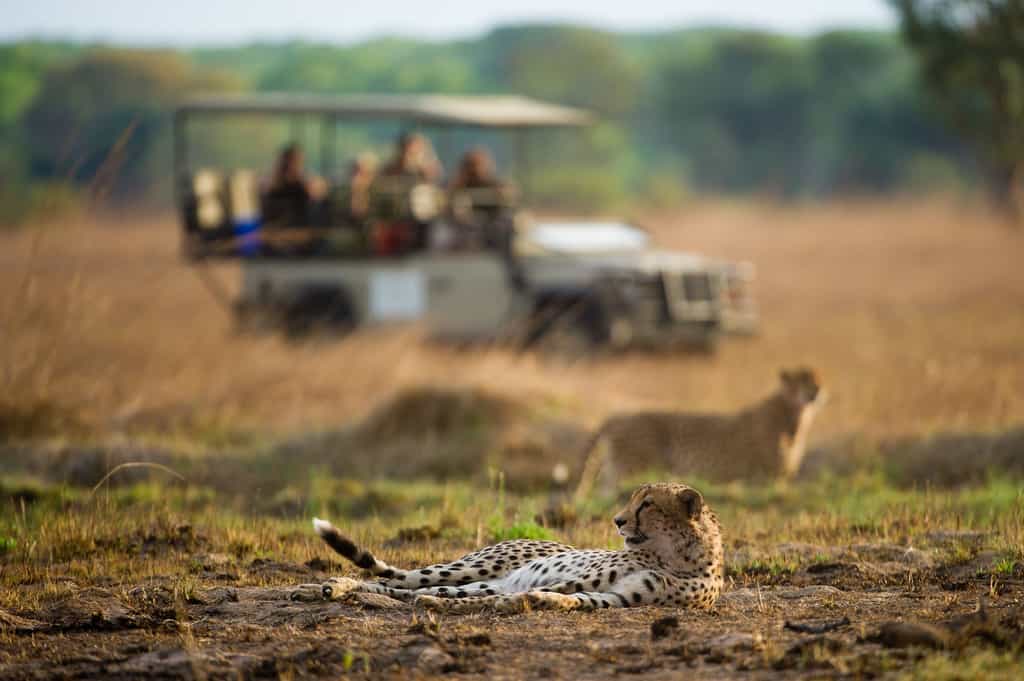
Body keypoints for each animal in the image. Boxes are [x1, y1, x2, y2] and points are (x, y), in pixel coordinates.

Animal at [301, 482, 723, 614]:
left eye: (647, 504)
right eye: (636, 500)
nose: (618, 521)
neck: (676, 556)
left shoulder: (619, 598)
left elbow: (573, 600)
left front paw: (536, 602)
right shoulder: (579, 580)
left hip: (482, 579)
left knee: (412, 589)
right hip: (472, 568)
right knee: (403, 580)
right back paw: (323, 587)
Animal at [574, 367, 824, 501]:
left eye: (818, 379)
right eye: (803, 381)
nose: (817, 390)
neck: (795, 415)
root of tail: (613, 416)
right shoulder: (766, 478)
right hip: (630, 468)